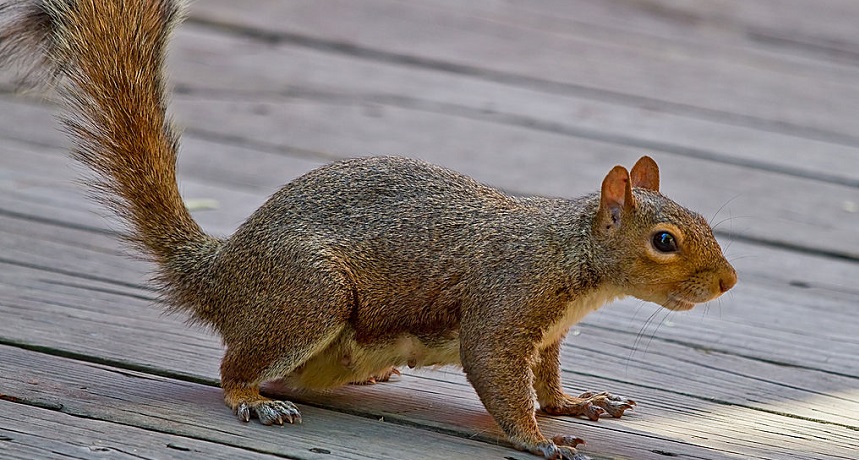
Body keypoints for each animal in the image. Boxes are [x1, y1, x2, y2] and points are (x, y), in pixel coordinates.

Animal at [0, 1, 737, 459]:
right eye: (664, 241)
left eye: (703, 220)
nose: (729, 282)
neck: (570, 253)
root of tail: (222, 273)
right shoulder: (507, 299)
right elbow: (496, 372)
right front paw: (537, 439)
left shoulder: (548, 334)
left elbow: (546, 378)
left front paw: (576, 404)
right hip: (308, 296)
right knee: (235, 367)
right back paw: (253, 399)